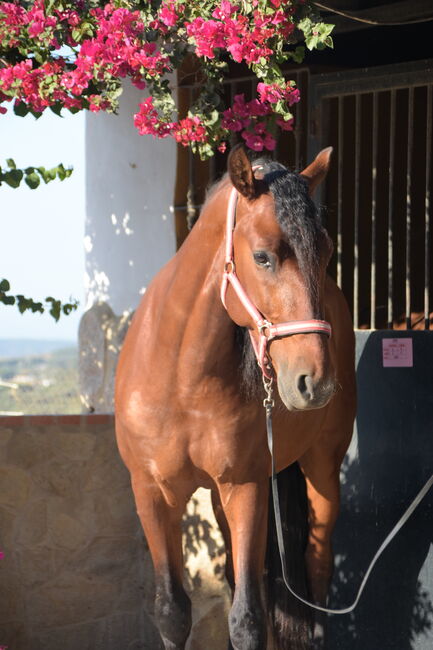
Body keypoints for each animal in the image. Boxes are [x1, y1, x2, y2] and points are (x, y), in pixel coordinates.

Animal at [114, 146, 354, 648]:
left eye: (325, 253)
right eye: (262, 257)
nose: (316, 382)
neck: (180, 382)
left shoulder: (246, 488)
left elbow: (247, 619)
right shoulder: (150, 493)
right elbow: (172, 611)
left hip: (322, 468)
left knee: (317, 571)